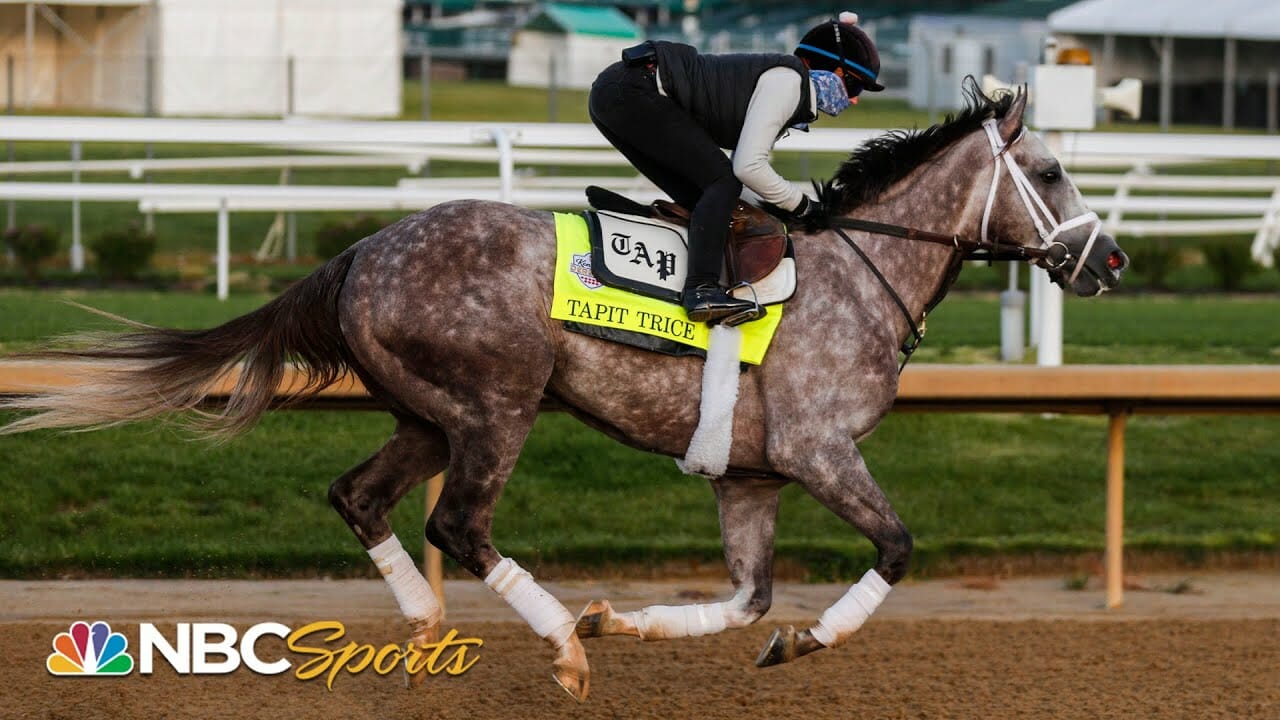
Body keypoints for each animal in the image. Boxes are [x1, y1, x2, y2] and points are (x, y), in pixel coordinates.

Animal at [0, 90, 1121, 702]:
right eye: (1049, 170)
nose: (1107, 260)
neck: (857, 271)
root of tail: (363, 249)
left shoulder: (749, 476)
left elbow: (746, 596)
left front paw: (627, 621)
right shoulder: (818, 452)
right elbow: (893, 548)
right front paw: (804, 639)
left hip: (429, 414)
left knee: (359, 497)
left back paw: (428, 630)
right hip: (497, 405)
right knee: (457, 523)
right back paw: (555, 650)